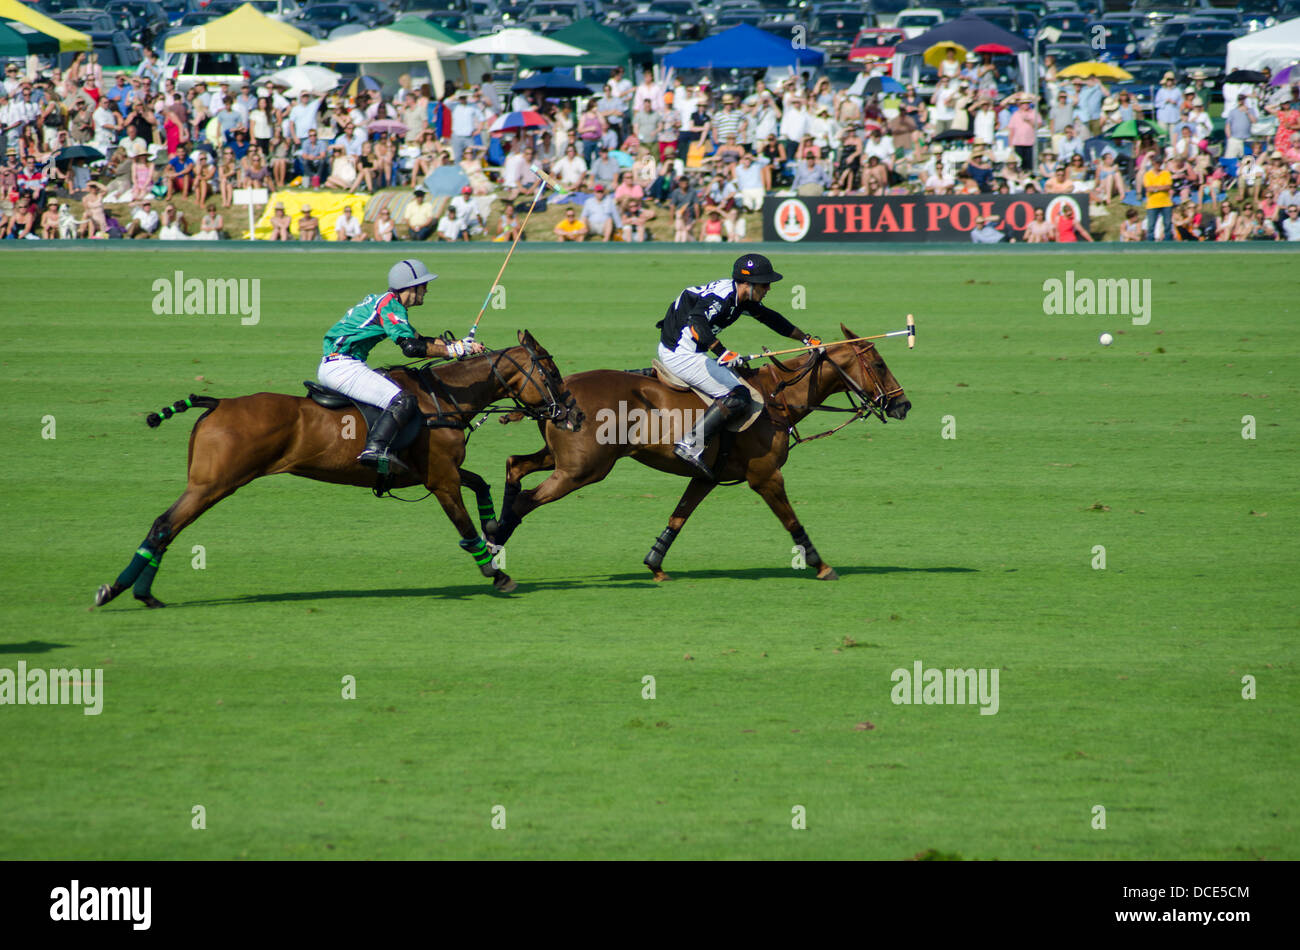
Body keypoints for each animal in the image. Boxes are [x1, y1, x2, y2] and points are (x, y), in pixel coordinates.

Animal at [91, 330, 579, 605]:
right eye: (552, 372)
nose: (573, 415)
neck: (443, 400)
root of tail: (218, 402)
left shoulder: (432, 473)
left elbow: (480, 488)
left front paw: (496, 528)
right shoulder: (440, 479)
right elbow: (463, 526)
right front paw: (496, 573)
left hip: (209, 482)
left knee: (164, 525)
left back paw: (138, 593)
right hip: (215, 483)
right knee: (166, 524)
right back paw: (119, 590)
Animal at [491, 324, 909, 579]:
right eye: (878, 363)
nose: (902, 405)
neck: (778, 400)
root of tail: (557, 393)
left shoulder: (706, 478)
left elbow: (678, 518)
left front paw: (655, 565)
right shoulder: (766, 476)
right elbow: (792, 521)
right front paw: (822, 566)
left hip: (563, 458)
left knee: (515, 466)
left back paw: (493, 533)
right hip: (583, 469)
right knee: (527, 498)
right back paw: (495, 550)